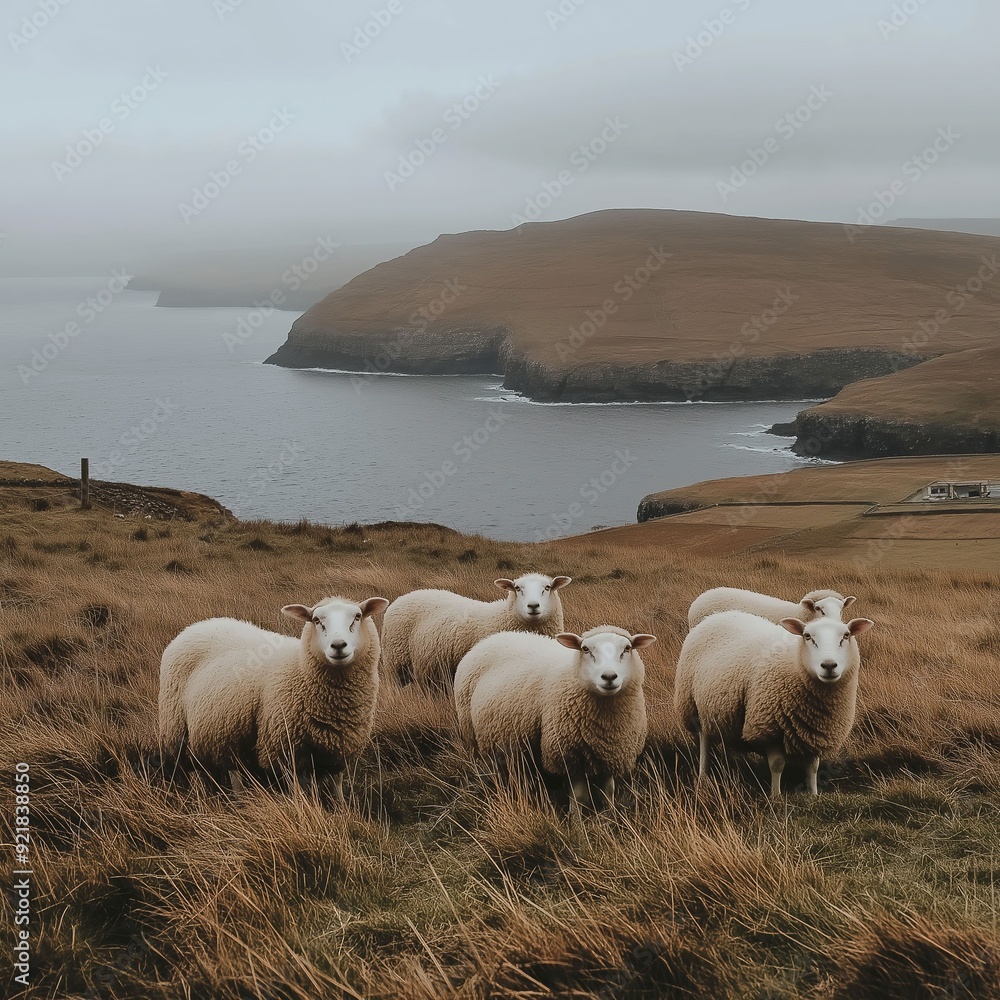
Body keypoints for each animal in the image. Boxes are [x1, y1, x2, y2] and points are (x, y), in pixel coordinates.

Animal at [158, 595, 389, 803]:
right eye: (316, 620)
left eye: (357, 616)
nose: (338, 645)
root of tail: (197, 626)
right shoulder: (286, 752)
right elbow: (300, 793)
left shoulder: (338, 749)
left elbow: (337, 787)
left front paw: (342, 810)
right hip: (176, 731)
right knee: (186, 770)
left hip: (218, 734)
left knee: (218, 771)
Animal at [454, 626, 656, 825]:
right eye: (585, 649)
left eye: (627, 648)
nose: (609, 676)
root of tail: (493, 637)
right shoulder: (569, 754)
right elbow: (580, 797)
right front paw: (576, 825)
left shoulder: (611, 752)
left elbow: (608, 793)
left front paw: (609, 819)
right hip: (470, 734)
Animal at [674, 609, 875, 797]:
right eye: (807, 636)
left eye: (846, 635)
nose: (829, 665)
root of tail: (716, 616)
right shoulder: (768, 726)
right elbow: (777, 764)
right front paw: (775, 796)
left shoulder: (815, 732)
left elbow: (813, 767)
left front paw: (813, 794)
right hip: (694, 707)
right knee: (704, 741)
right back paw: (703, 775)